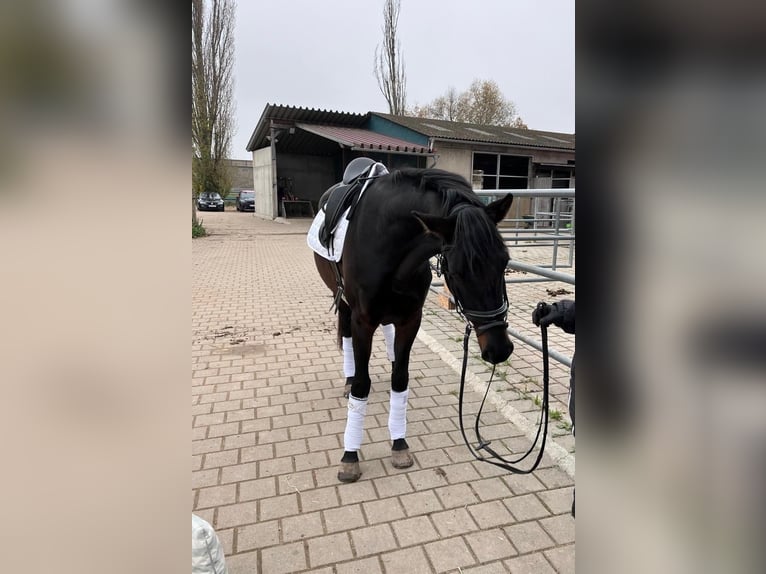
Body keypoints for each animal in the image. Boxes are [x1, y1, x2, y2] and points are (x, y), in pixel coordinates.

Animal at [313, 167, 514, 482]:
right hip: (342, 299)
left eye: (504, 262)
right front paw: (350, 456)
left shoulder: (410, 320)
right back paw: (347, 380)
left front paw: (399, 443)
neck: (387, 245)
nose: (499, 349)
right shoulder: (362, 321)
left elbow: (400, 378)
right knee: (345, 337)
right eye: (457, 270)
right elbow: (361, 384)